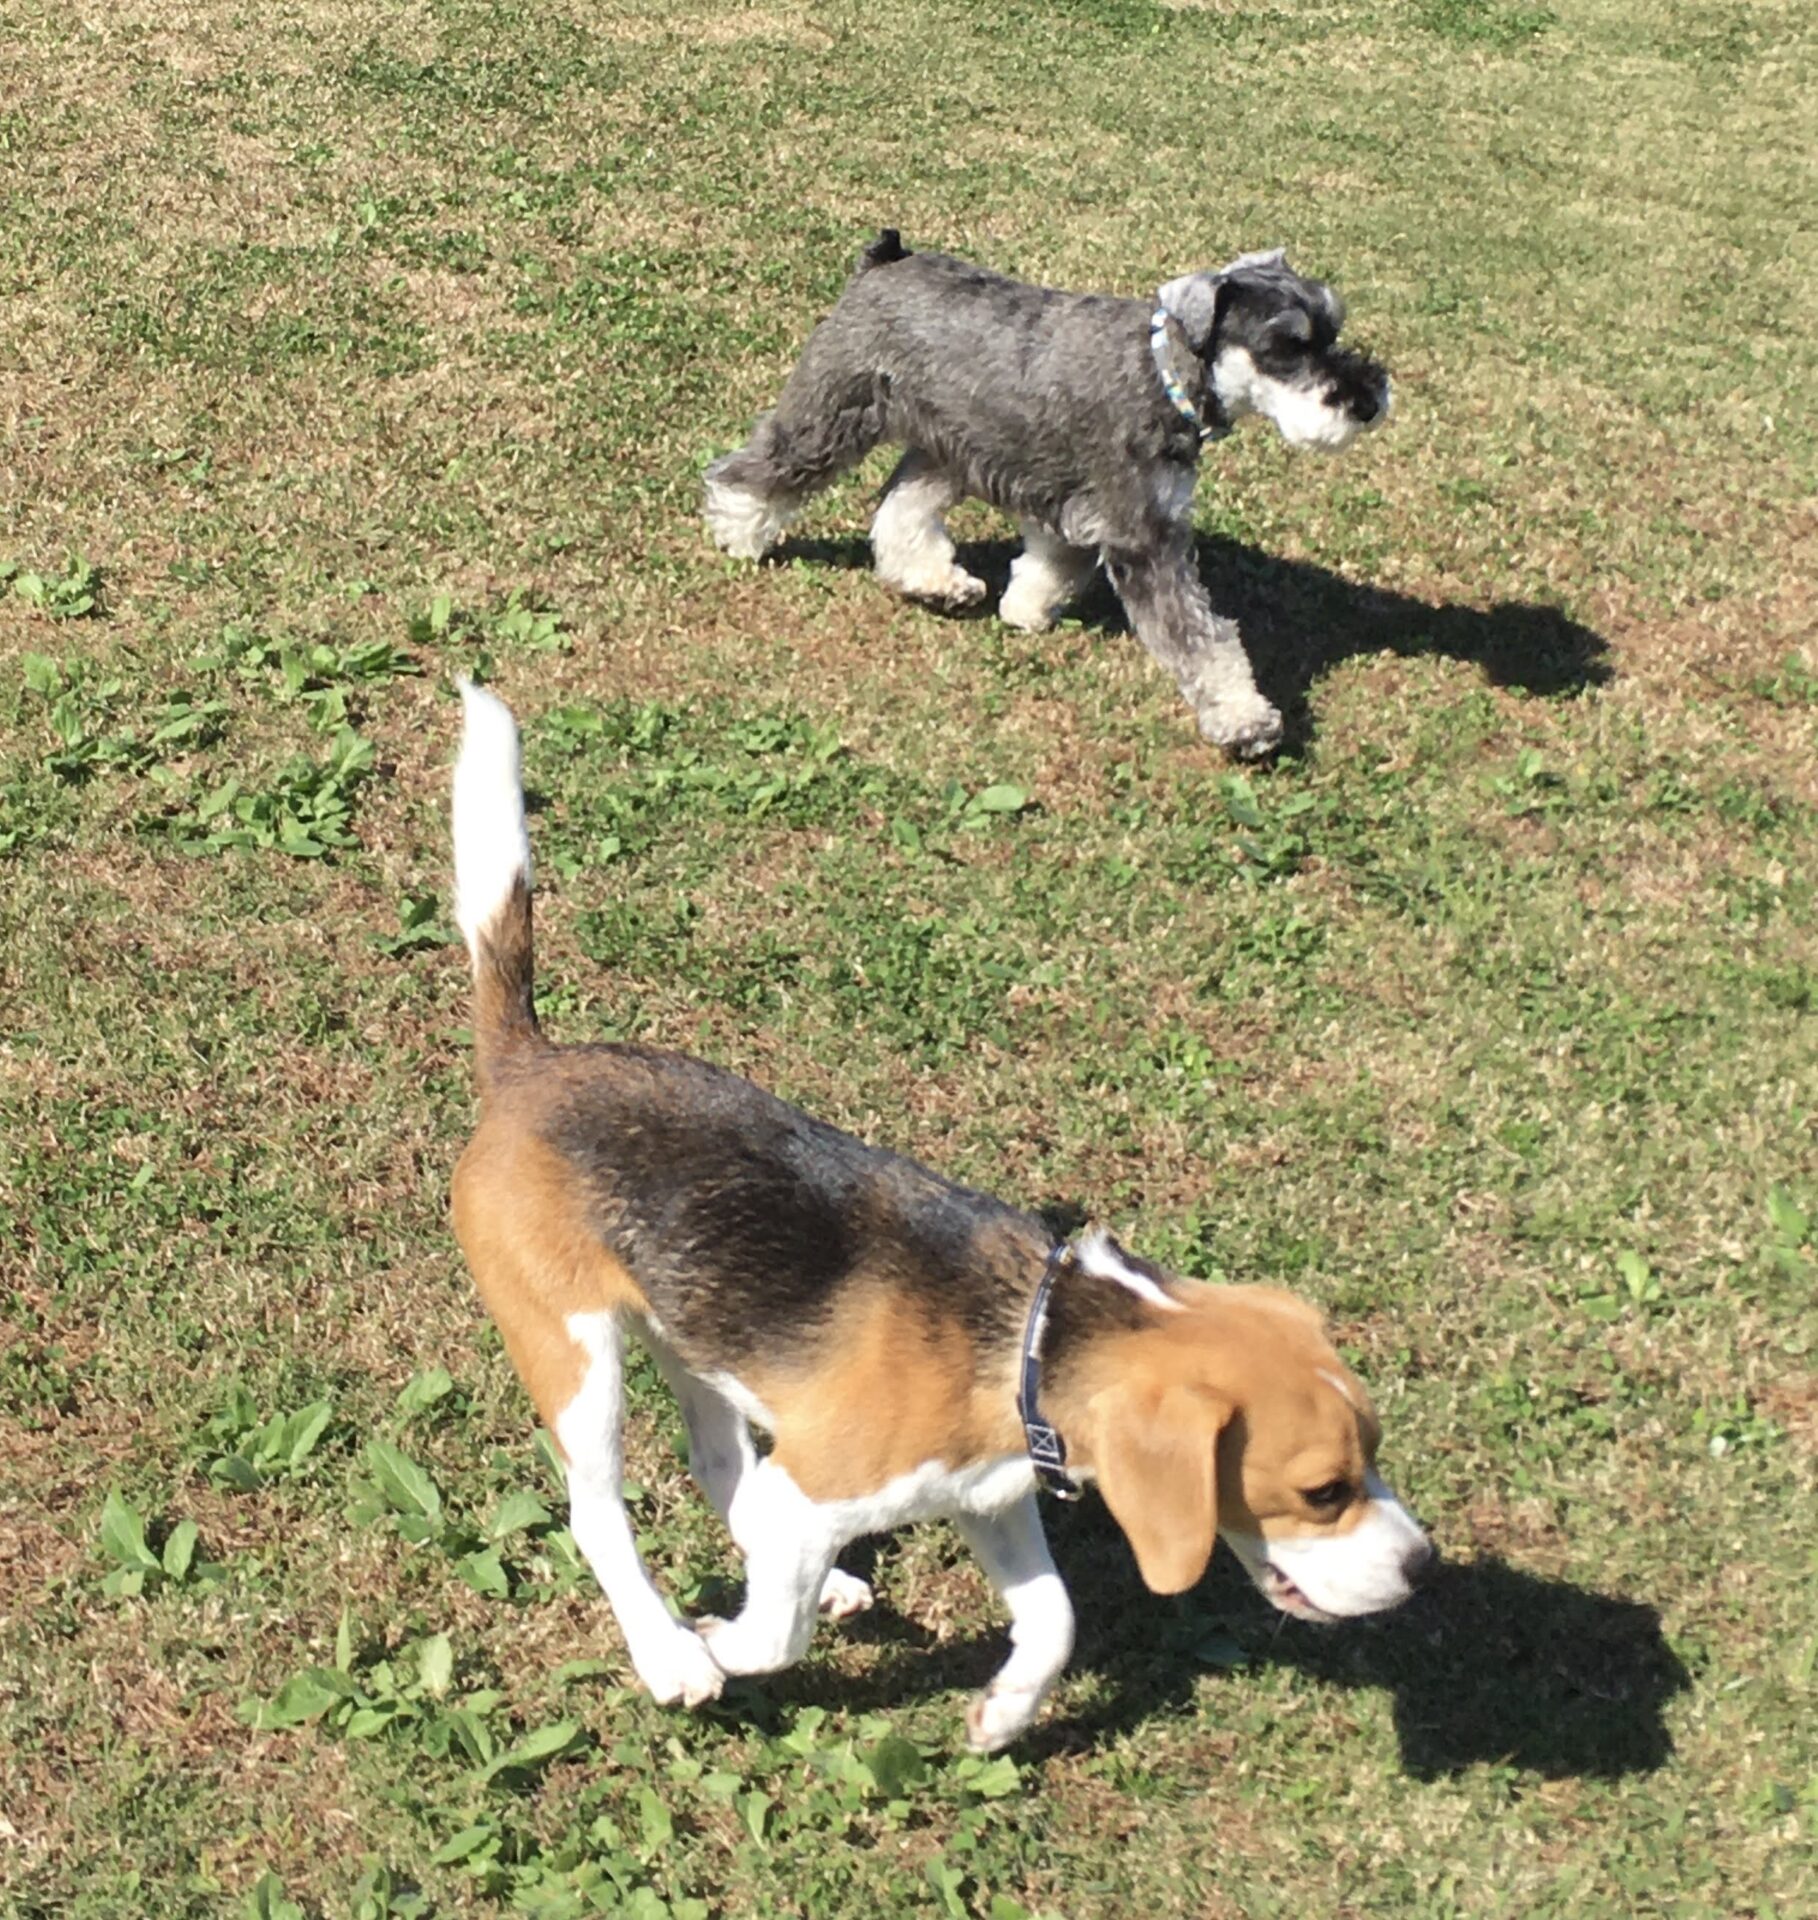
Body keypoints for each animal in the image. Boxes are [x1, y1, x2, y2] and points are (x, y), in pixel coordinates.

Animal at [449, 683, 1433, 1749]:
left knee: (719, 1466)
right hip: (575, 1353)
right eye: (1323, 1492)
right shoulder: (825, 1487)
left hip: (697, 1337)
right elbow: (776, 1640)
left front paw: (1005, 1714)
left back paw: (811, 1581)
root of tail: (530, 1065)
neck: (1031, 1336)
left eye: (1375, 1455)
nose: (1422, 1565)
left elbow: (1056, 1617)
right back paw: (670, 1650)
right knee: (601, 1515)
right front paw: (721, 1642)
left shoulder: (991, 1497)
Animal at [703, 233, 1392, 759]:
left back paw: (938, 583)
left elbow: (1053, 564)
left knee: (901, 509)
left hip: (951, 445)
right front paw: (1245, 720)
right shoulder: (1144, 537)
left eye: (1332, 328)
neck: (1162, 375)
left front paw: (1024, 611)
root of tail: (887, 258)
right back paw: (738, 533)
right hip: (835, 416)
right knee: (762, 468)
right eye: (1286, 345)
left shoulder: (1085, 509)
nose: (1367, 399)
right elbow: (1203, 638)